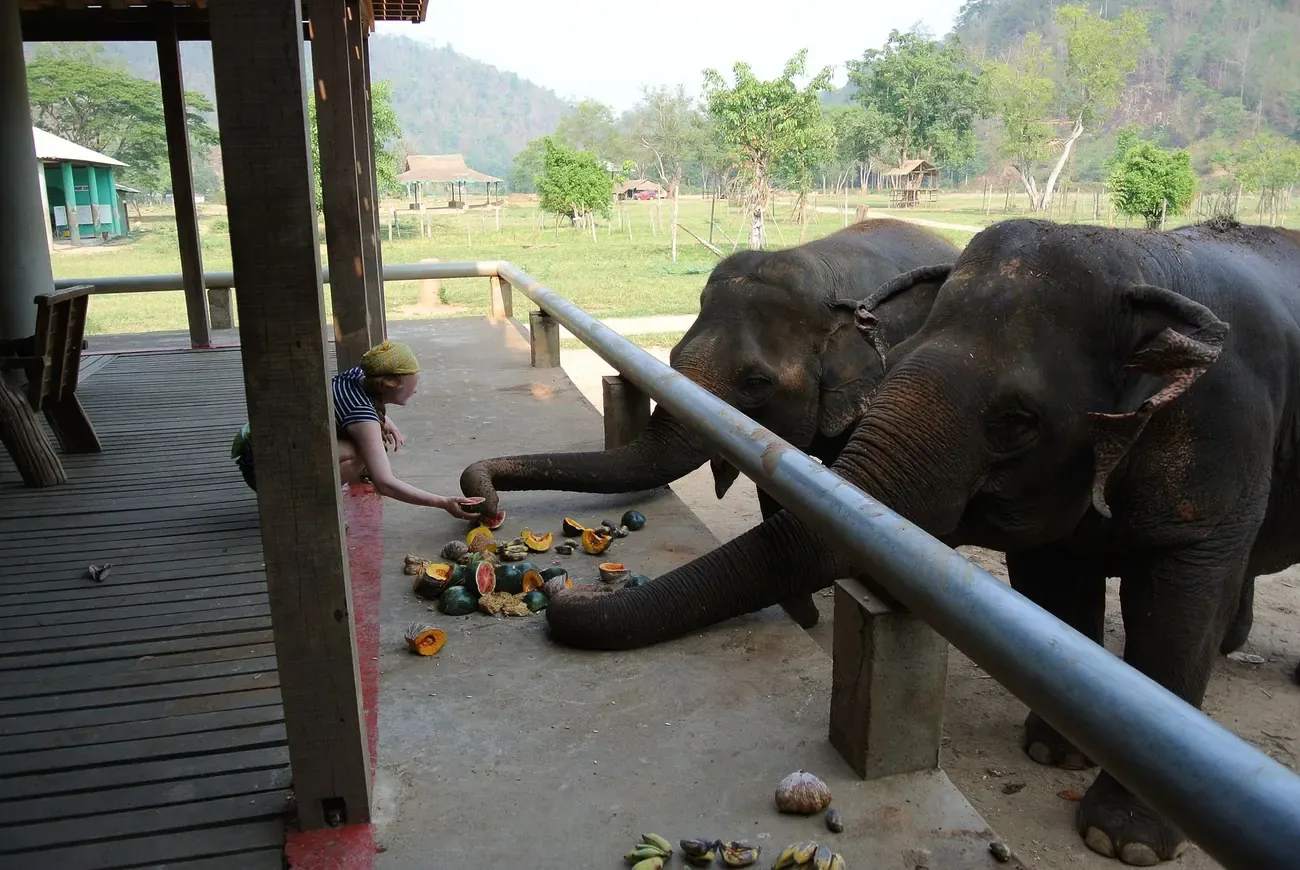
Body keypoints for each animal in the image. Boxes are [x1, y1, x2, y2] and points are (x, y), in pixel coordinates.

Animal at [459, 217, 959, 627]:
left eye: (756, 383)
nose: (485, 501)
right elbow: (780, 495)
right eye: (672, 357)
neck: (821, 272)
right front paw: (803, 614)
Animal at [544, 217, 1300, 865]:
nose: (563, 601)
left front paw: (1122, 842)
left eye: (1019, 421)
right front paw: (1054, 756)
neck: (1135, 264)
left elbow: (1177, 601)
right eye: (669, 357)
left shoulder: (1220, 430)